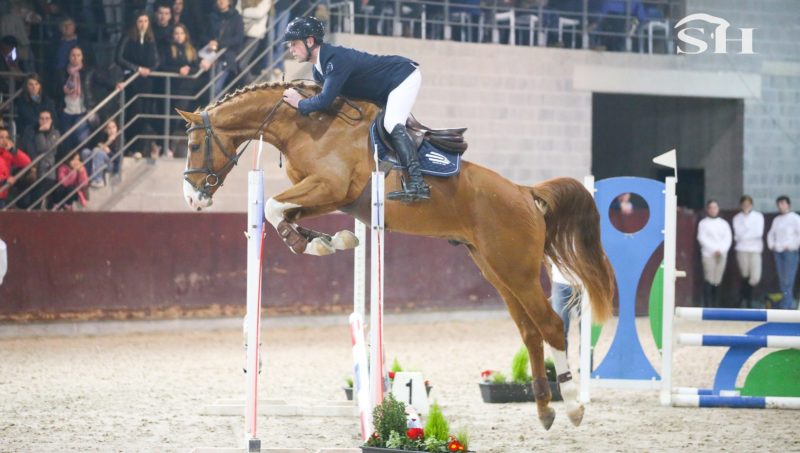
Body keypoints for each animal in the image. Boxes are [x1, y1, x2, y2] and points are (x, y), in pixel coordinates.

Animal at [178, 82, 615, 430]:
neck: (305, 125)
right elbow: (281, 213)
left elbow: (271, 206)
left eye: (195, 144)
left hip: (516, 269)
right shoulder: (326, 196)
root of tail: (526, 193)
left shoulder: (328, 185)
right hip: (495, 270)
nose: (194, 199)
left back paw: (573, 407)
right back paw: (544, 410)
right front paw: (329, 241)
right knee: (530, 332)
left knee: (551, 326)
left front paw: (322, 241)